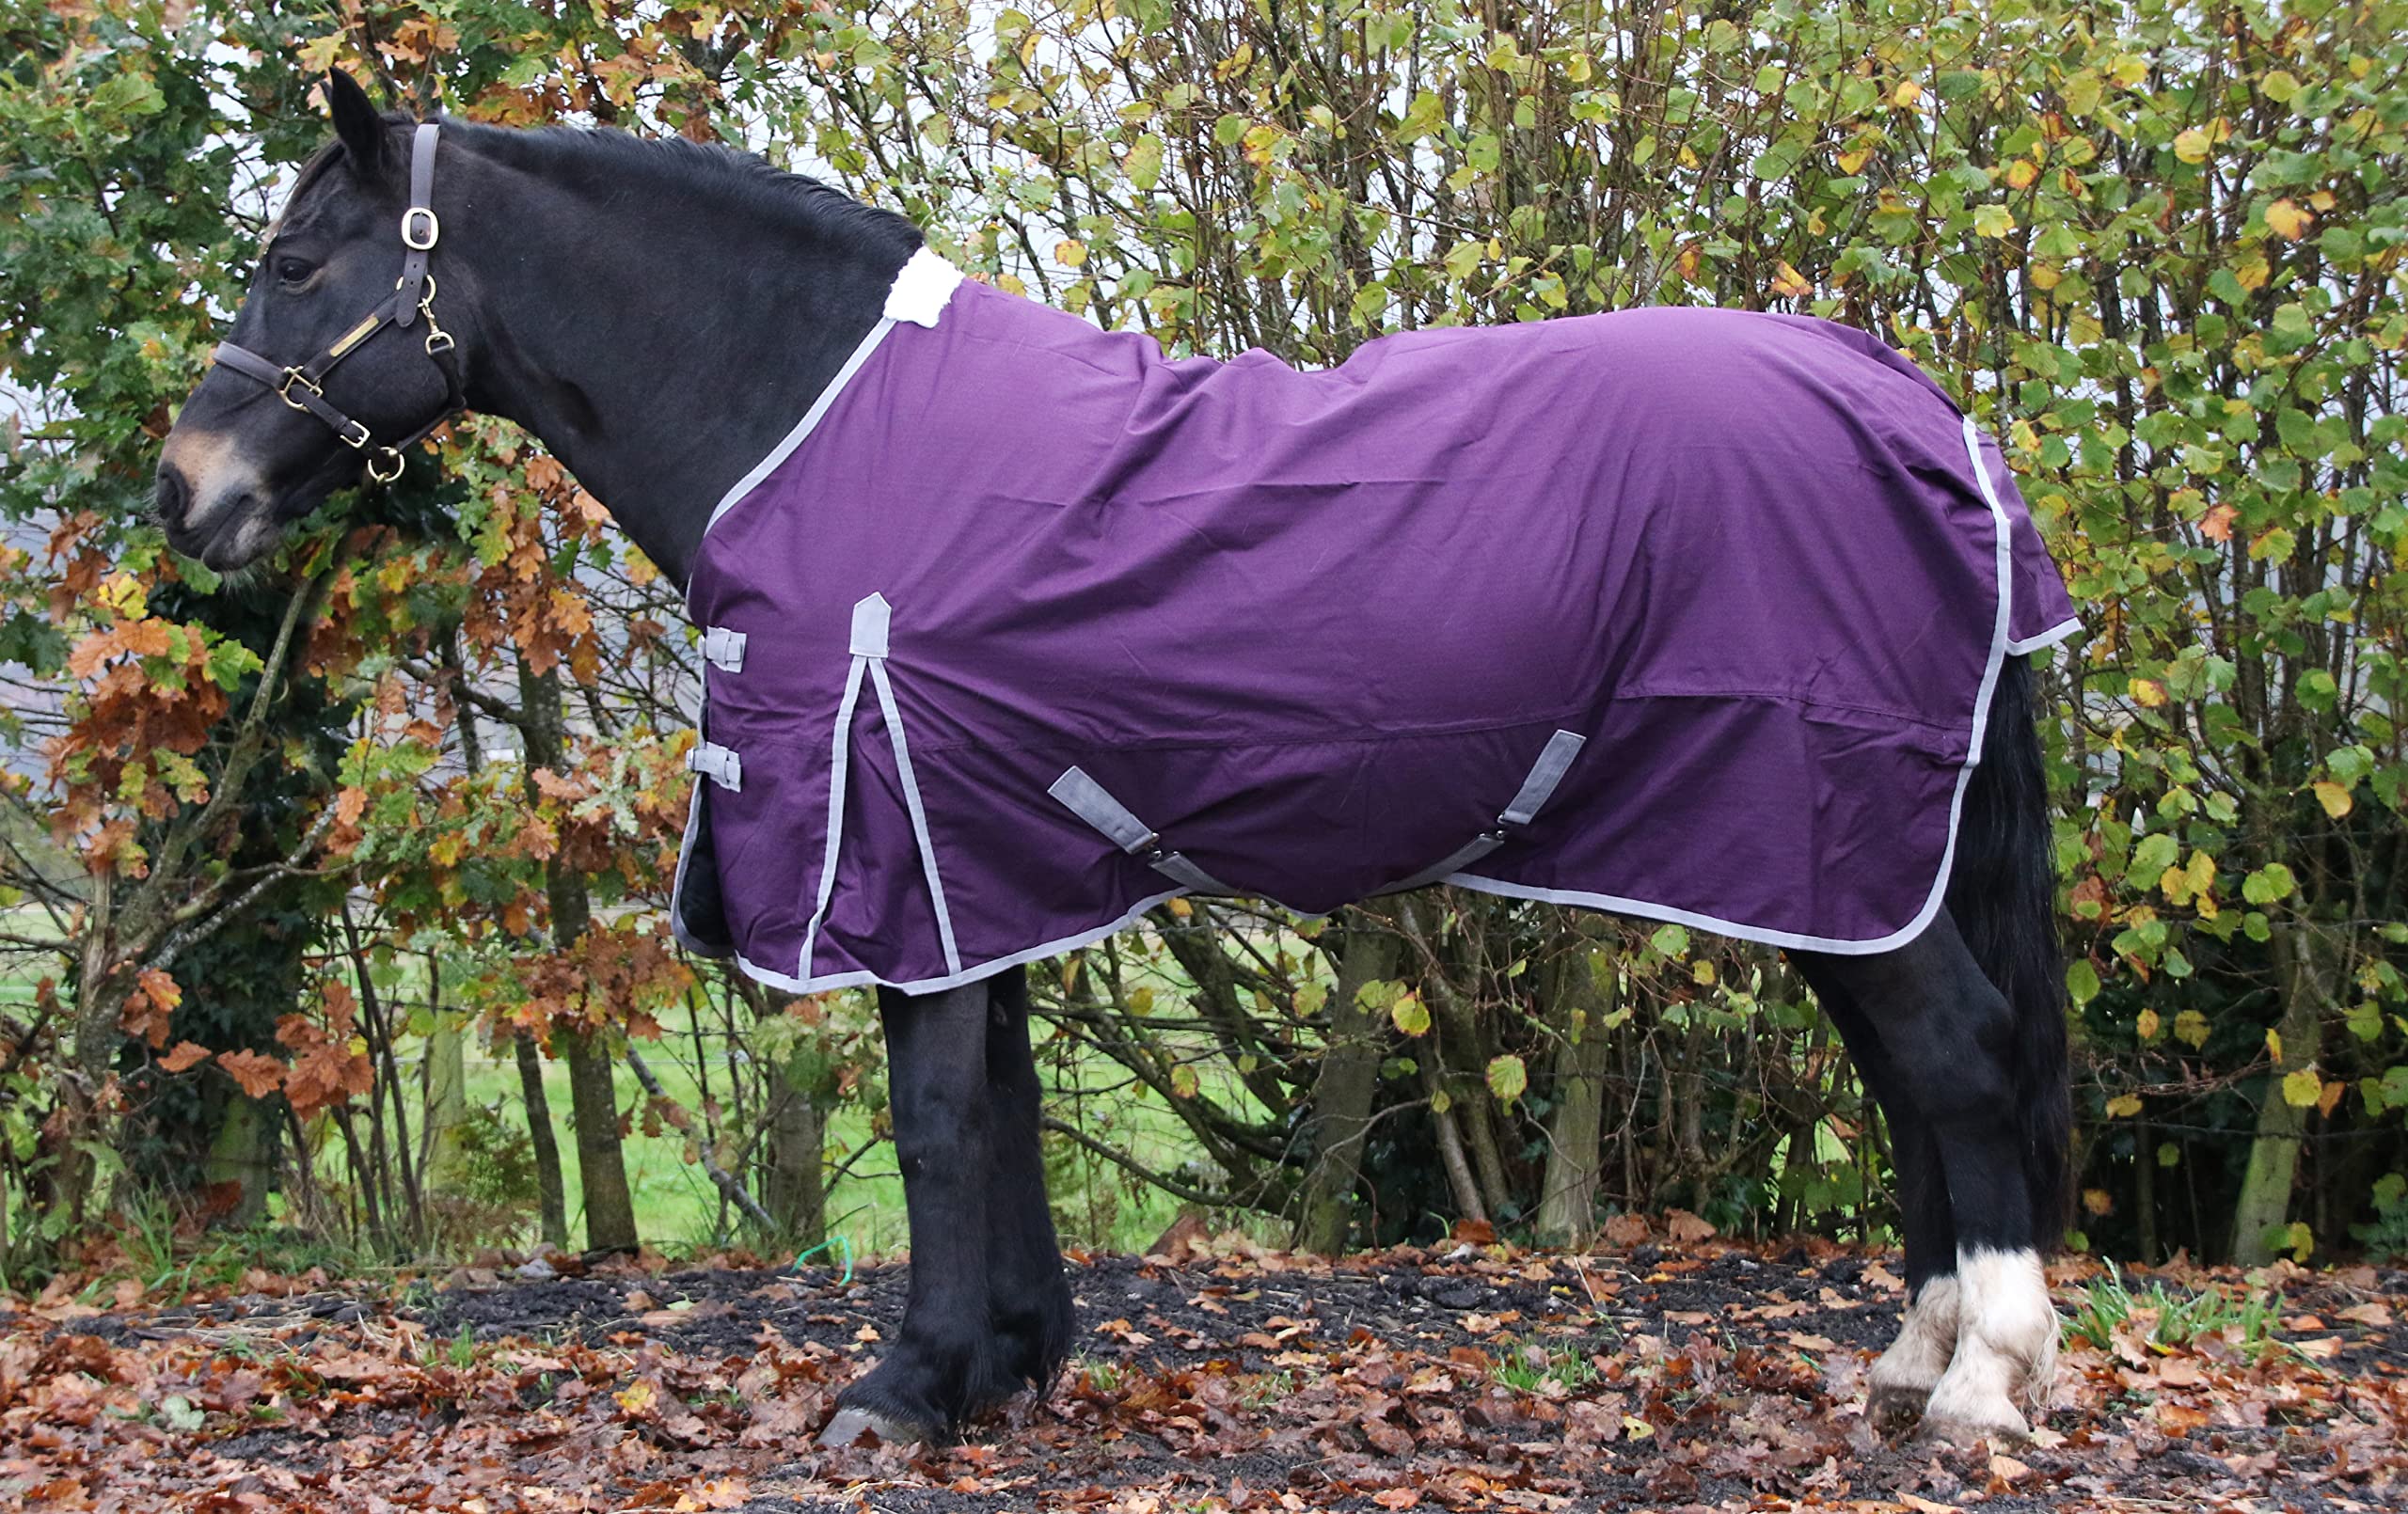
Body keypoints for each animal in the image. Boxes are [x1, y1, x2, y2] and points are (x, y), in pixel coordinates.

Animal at [154, 73, 2073, 1448]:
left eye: (298, 266)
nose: (186, 495)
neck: (815, 424)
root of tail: (1912, 406)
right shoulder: (967, 862)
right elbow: (995, 1105)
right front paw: (1004, 1363)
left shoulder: (901, 844)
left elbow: (936, 1120)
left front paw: (900, 1394)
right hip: (1824, 864)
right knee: (1916, 1083)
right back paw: (1914, 1358)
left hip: (1832, 837)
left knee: (1963, 1063)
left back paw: (1983, 1378)